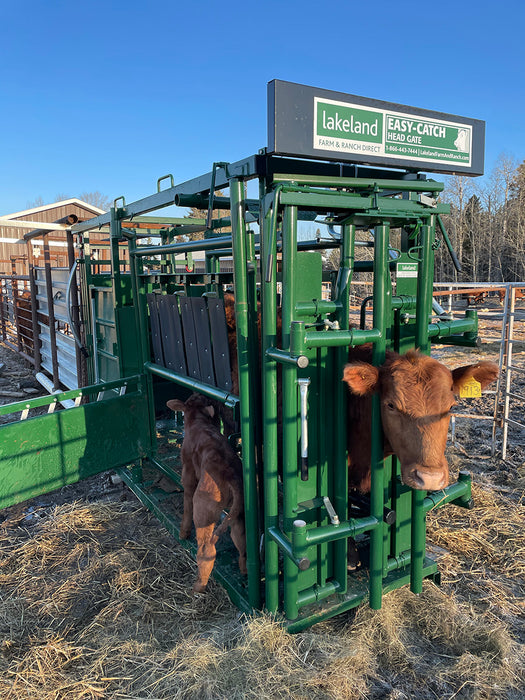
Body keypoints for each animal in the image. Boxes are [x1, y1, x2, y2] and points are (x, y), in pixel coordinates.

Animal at [166, 393, 247, 593]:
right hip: (239, 514)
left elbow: (186, 503)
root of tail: (231, 475)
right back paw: (244, 571)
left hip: (203, 509)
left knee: (206, 550)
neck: (199, 421)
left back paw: (198, 586)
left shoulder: (188, 473)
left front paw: (183, 533)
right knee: (242, 542)